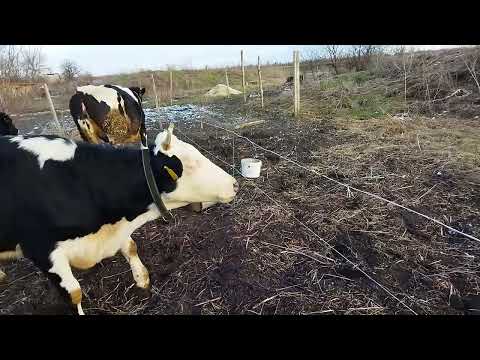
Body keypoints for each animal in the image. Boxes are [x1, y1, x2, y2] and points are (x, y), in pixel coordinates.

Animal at [0, 125, 239, 314]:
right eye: (191, 164)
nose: (235, 184)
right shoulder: (42, 251)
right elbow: (74, 294)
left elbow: (131, 247)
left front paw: (142, 281)